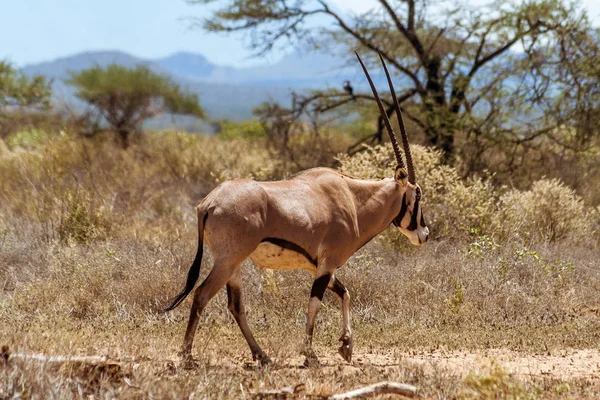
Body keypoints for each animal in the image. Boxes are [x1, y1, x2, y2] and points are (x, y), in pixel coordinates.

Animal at [166, 51, 428, 368]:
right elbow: (315, 304)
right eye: (418, 195)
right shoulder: (328, 263)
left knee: (235, 305)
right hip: (227, 261)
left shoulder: (319, 265)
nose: (424, 234)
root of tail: (208, 203)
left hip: (234, 264)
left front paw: (346, 346)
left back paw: (262, 355)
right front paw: (311, 354)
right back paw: (187, 356)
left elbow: (345, 293)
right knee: (201, 296)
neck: (353, 200)